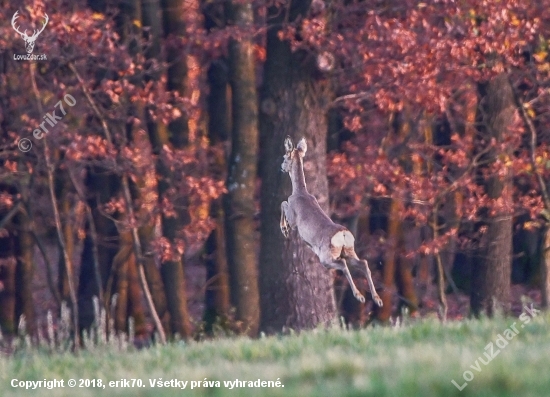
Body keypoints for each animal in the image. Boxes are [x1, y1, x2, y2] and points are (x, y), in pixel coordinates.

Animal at [280, 137, 384, 306]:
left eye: (284, 157)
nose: (281, 167)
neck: (300, 192)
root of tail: (343, 235)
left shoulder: (294, 218)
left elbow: (283, 203)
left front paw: (284, 229)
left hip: (326, 256)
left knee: (343, 265)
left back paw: (360, 296)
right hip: (348, 250)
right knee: (363, 263)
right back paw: (377, 299)